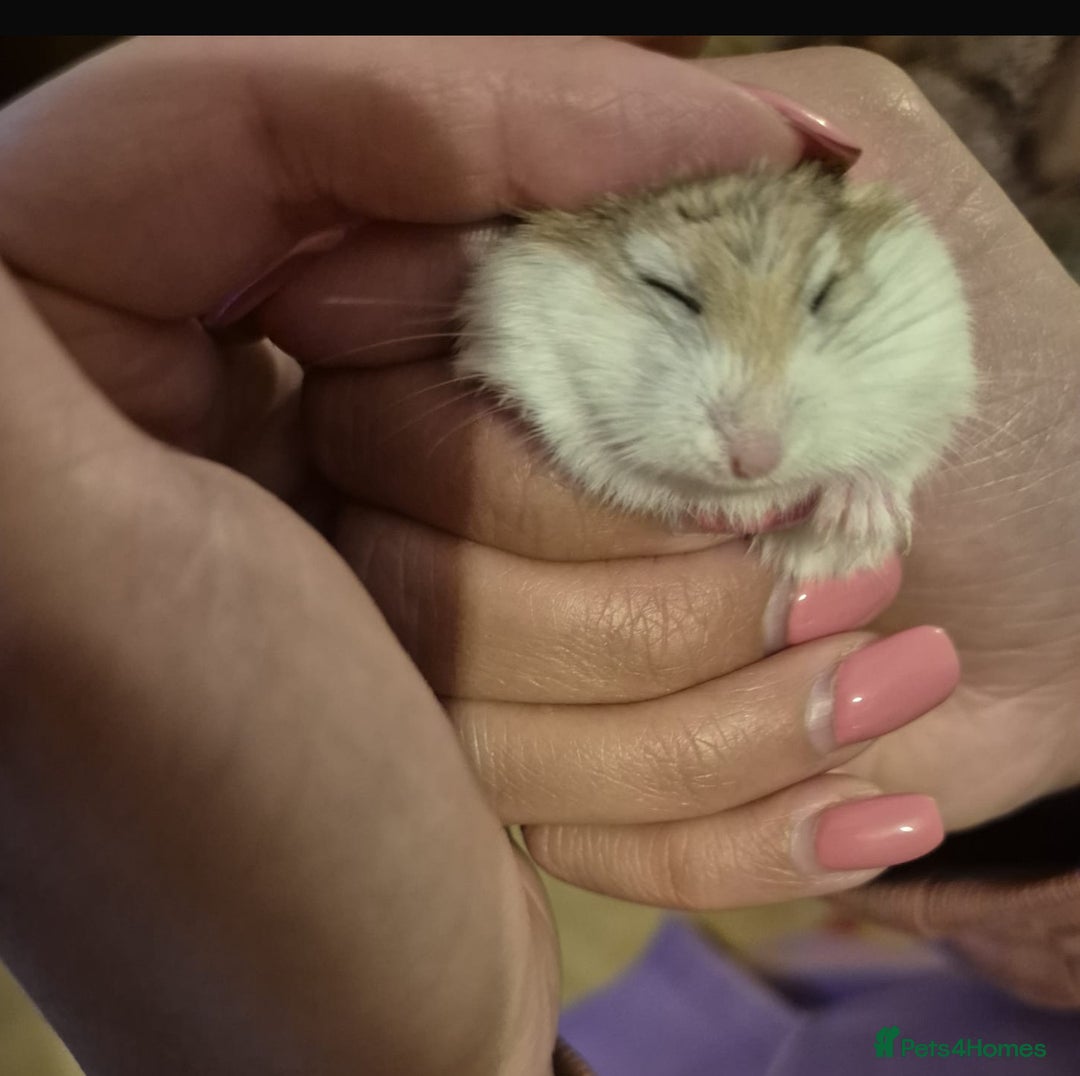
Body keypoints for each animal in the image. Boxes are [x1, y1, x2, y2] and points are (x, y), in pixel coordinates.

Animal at [456, 163, 973, 581]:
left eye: (825, 292)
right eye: (667, 289)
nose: (753, 463)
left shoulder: (941, 378)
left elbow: (899, 459)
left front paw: (855, 515)